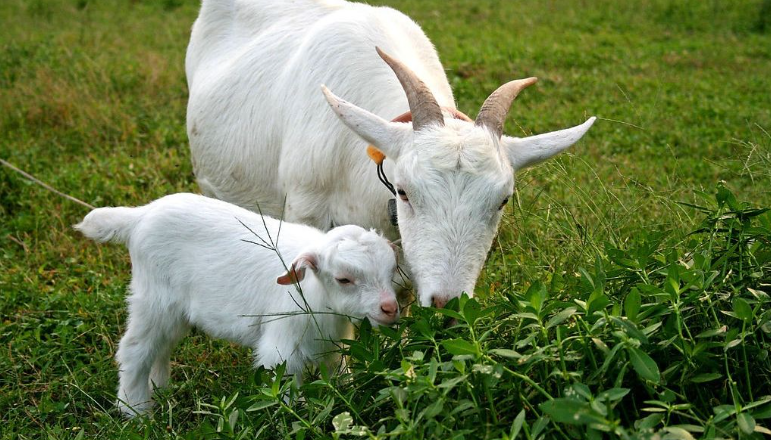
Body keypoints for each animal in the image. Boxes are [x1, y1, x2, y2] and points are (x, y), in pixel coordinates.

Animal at [74, 192, 398, 416]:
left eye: (391, 270)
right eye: (343, 279)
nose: (390, 309)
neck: (316, 295)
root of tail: (140, 216)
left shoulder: (332, 345)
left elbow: (337, 375)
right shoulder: (282, 349)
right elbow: (285, 386)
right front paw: (292, 414)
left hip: (173, 311)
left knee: (160, 347)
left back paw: (159, 391)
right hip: (154, 298)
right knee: (135, 349)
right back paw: (136, 411)